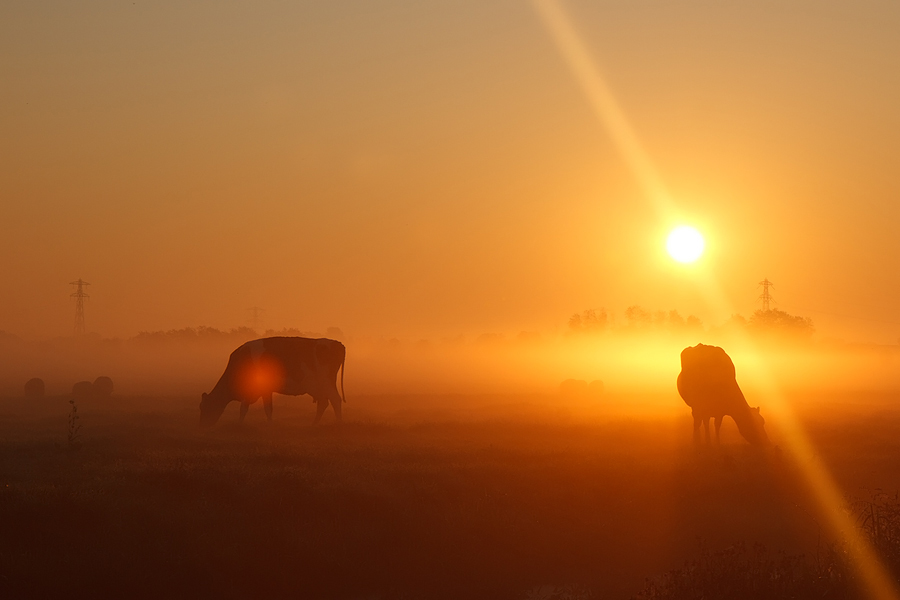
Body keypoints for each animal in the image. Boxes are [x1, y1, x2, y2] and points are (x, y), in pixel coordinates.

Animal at [200, 338, 344, 426]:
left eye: (204, 406)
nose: (203, 425)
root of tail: (337, 343)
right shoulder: (265, 390)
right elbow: (267, 408)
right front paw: (269, 423)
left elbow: (245, 409)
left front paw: (240, 424)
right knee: (324, 403)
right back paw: (314, 424)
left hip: (327, 383)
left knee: (335, 400)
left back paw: (338, 423)